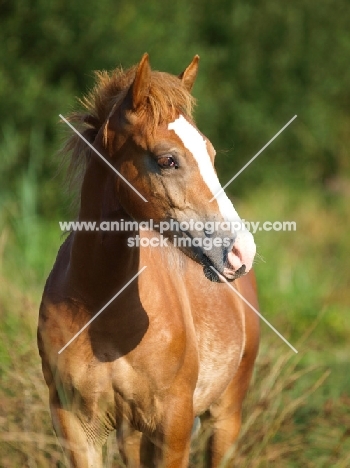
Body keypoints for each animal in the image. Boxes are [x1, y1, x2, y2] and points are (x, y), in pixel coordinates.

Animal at [38, 54, 260, 468]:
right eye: (167, 159)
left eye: (211, 154)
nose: (242, 251)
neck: (100, 307)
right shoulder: (75, 425)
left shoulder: (172, 425)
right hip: (130, 433)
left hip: (225, 418)